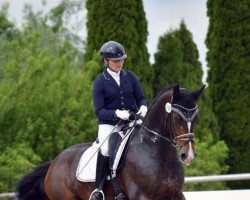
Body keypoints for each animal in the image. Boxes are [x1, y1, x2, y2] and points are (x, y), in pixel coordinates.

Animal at [16, 83, 206, 199]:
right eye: (176, 118)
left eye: (196, 118)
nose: (188, 155)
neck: (158, 154)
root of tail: (54, 163)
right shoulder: (143, 196)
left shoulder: (175, 195)